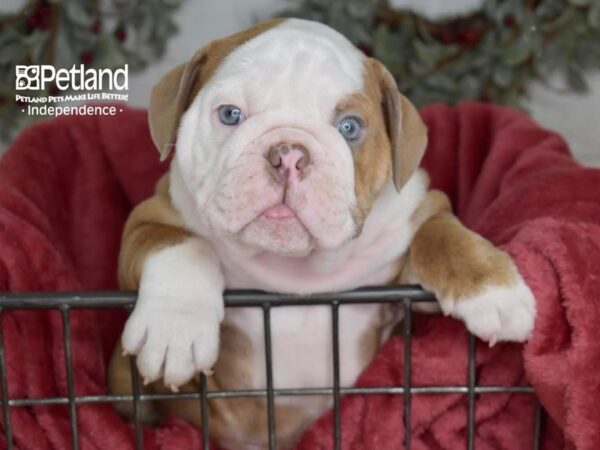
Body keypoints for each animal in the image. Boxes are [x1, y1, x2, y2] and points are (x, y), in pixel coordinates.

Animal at [106, 18, 536, 450]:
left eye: (350, 127)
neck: (298, 269)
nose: (289, 153)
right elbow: (179, 245)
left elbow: (441, 233)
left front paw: (493, 290)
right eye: (230, 114)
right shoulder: (148, 217)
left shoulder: (411, 241)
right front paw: (175, 328)